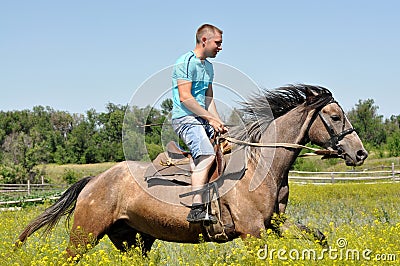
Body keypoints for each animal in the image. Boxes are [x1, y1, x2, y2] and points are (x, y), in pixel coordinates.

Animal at [16, 84, 368, 258]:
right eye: (335, 116)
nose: (360, 153)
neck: (261, 168)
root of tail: (95, 180)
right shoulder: (253, 231)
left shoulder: (274, 225)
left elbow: (319, 237)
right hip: (84, 235)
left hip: (132, 240)